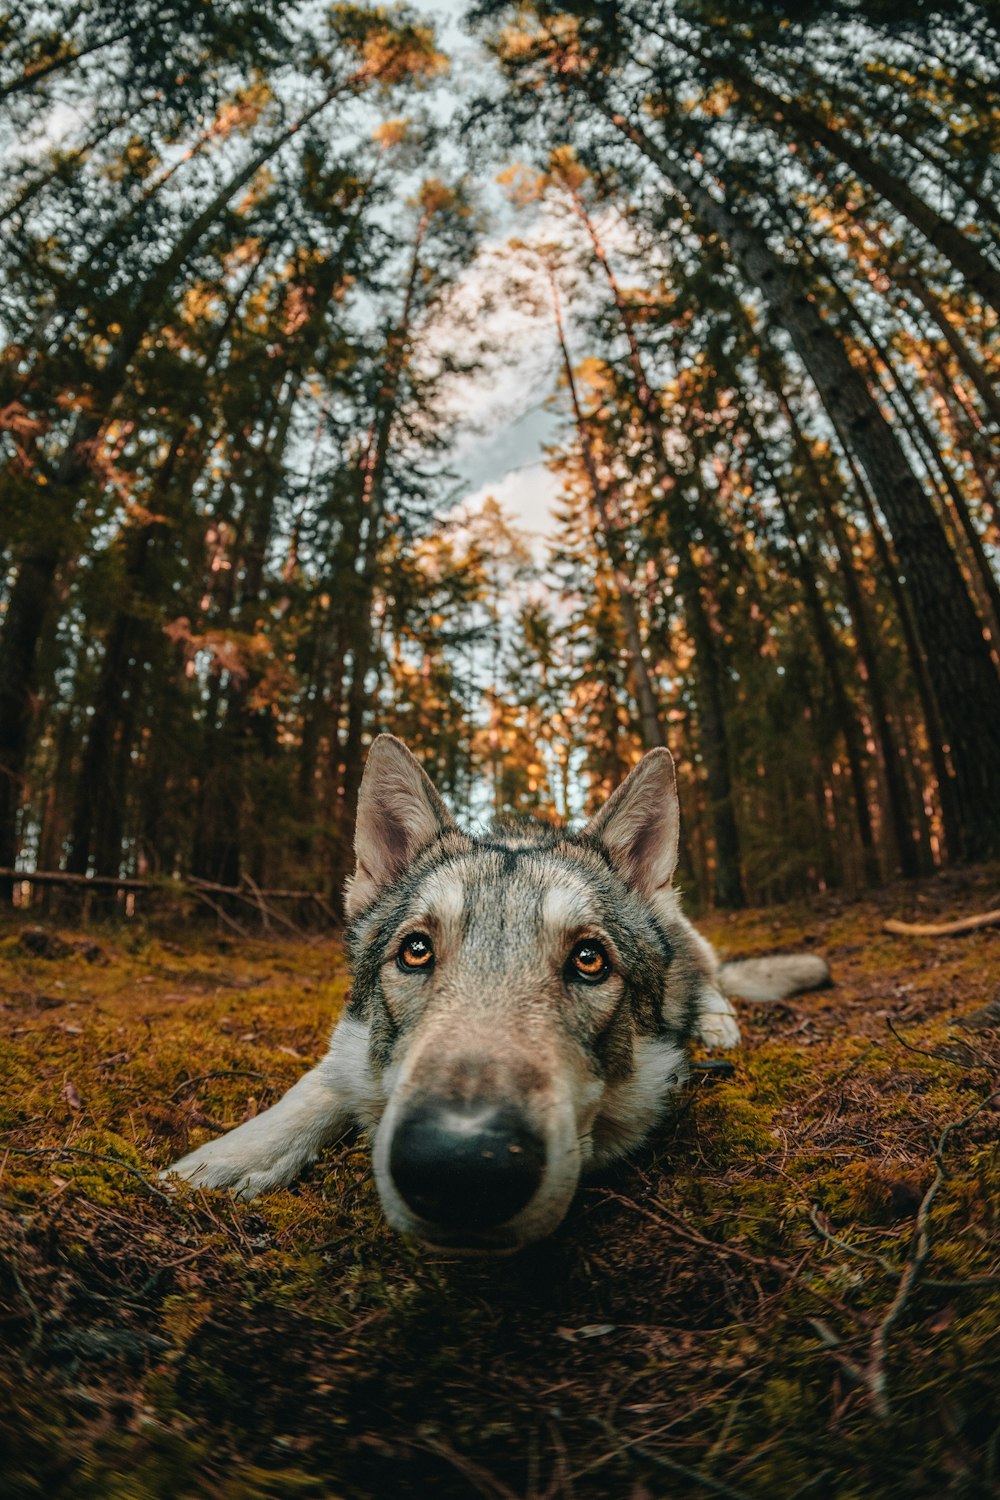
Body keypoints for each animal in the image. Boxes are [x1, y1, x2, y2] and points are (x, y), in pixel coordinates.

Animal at [170, 732, 827, 1248]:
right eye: (416, 951)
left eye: (589, 960)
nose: (460, 1167)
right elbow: (321, 1081)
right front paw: (233, 1157)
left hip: (687, 939)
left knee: (710, 979)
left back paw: (717, 1023)